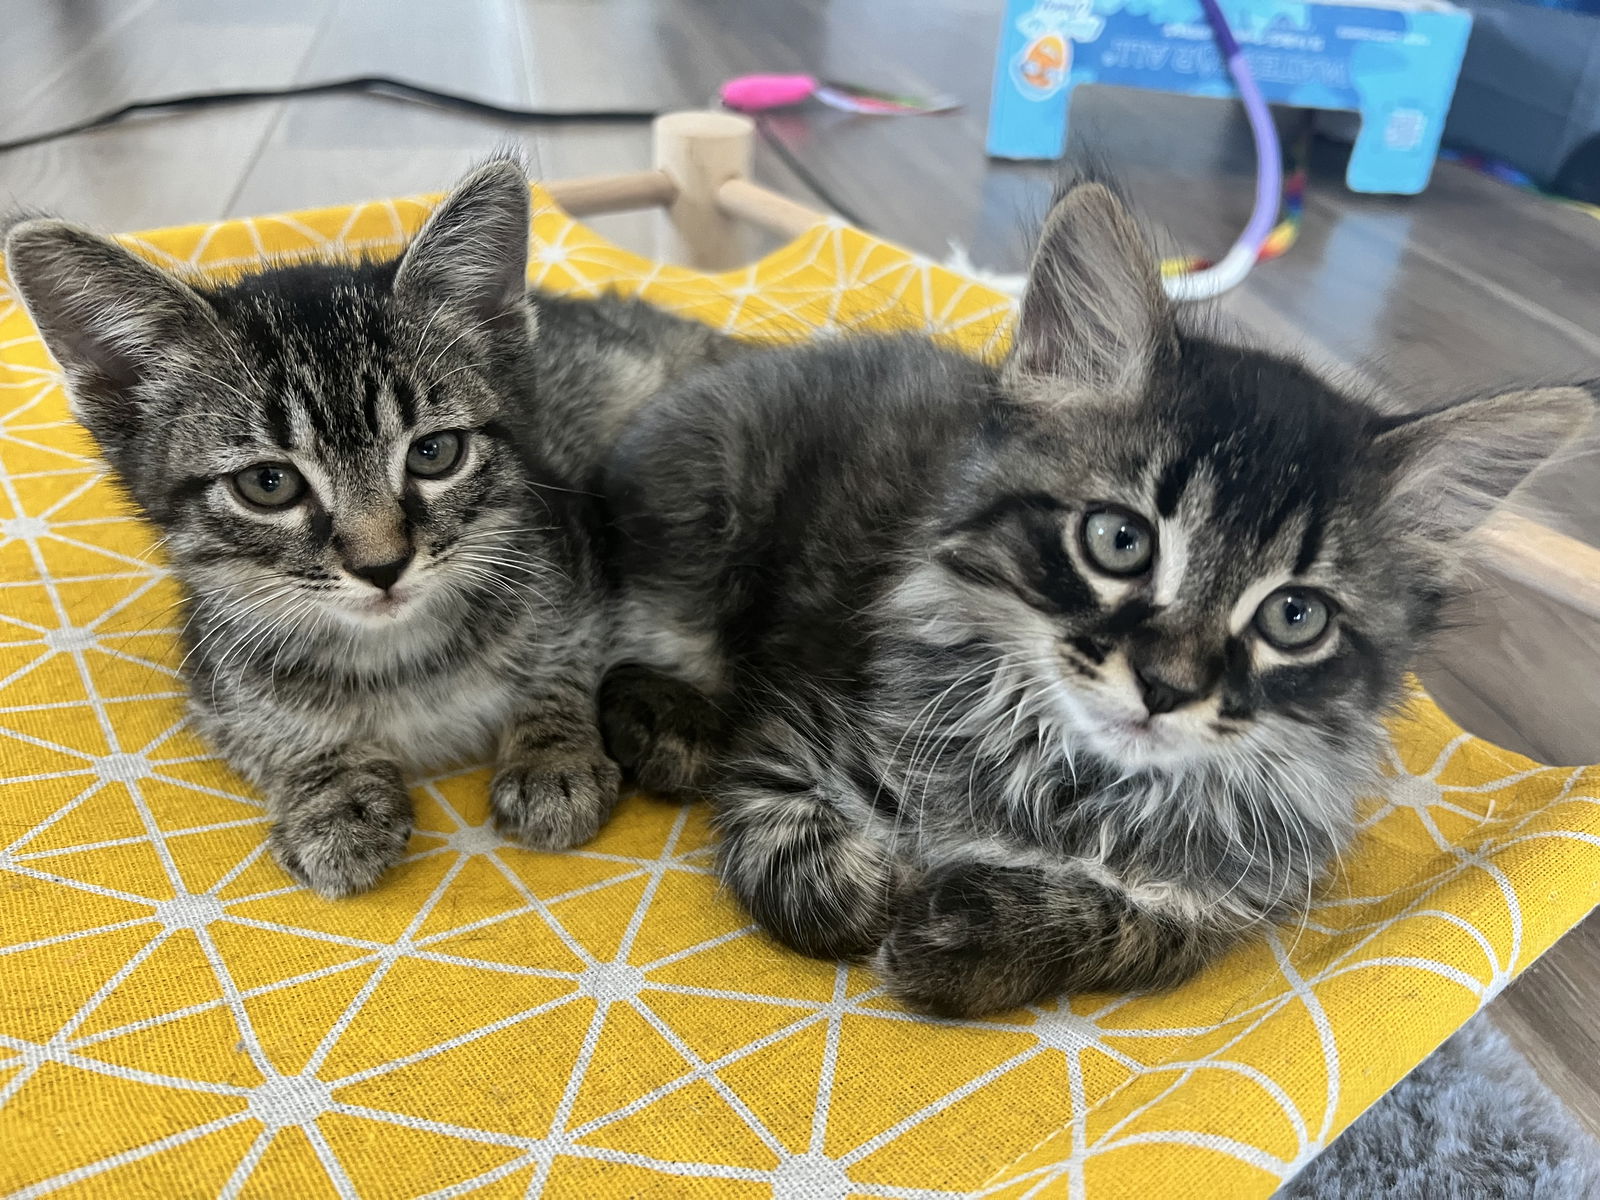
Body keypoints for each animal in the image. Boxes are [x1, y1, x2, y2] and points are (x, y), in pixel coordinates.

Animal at [3, 155, 732, 896]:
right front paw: (331, 792)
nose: (382, 565)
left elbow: (571, 653)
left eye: (434, 452)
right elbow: (258, 725)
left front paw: (552, 749)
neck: (396, 658)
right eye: (268, 485)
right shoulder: (211, 669)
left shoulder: (571, 549)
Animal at [601, 183, 1600, 1017]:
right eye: (1121, 541)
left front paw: (970, 938)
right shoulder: (798, 737)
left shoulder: (1231, 896)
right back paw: (678, 724)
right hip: (704, 506)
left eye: (1295, 617)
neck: (1075, 780)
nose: (1166, 685)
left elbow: (1137, 931)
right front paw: (886, 893)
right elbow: (801, 874)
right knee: (630, 653)